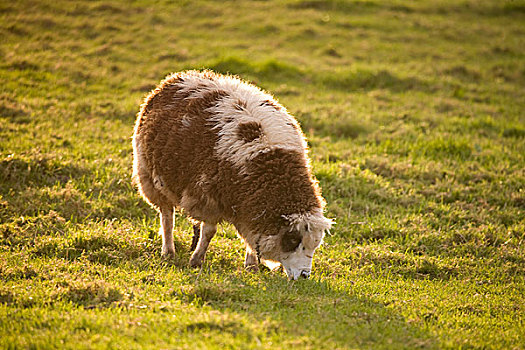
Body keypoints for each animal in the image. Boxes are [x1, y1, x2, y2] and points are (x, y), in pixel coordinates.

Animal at [133, 69, 334, 280]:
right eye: (293, 240)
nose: (304, 276)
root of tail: (180, 76)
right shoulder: (208, 198)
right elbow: (209, 232)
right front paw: (197, 260)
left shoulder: (248, 210)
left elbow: (250, 239)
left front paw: (251, 266)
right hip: (149, 176)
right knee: (167, 217)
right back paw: (168, 251)